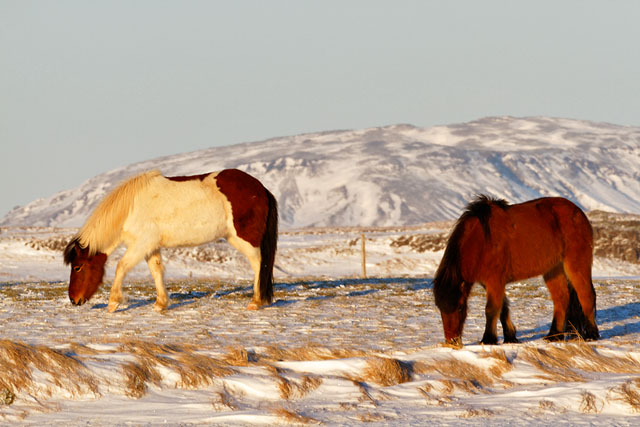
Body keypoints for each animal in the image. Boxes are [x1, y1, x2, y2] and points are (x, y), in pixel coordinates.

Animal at [62, 169, 278, 312]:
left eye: (77, 267)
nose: (74, 299)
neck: (130, 209)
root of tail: (261, 188)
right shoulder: (150, 247)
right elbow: (156, 271)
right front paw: (160, 304)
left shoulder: (141, 244)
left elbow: (121, 266)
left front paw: (113, 302)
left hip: (245, 239)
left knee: (258, 263)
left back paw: (256, 301)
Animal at [432, 196, 596, 346]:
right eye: (440, 309)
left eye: (460, 307)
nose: (452, 341)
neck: (482, 241)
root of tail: (578, 212)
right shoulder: (490, 283)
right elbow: (503, 309)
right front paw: (510, 337)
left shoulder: (495, 281)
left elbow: (491, 309)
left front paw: (488, 339)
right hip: (553, 270)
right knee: (561, 298)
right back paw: (554, 335)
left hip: (576, 263)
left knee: (586, 295)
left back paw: (591, 334)